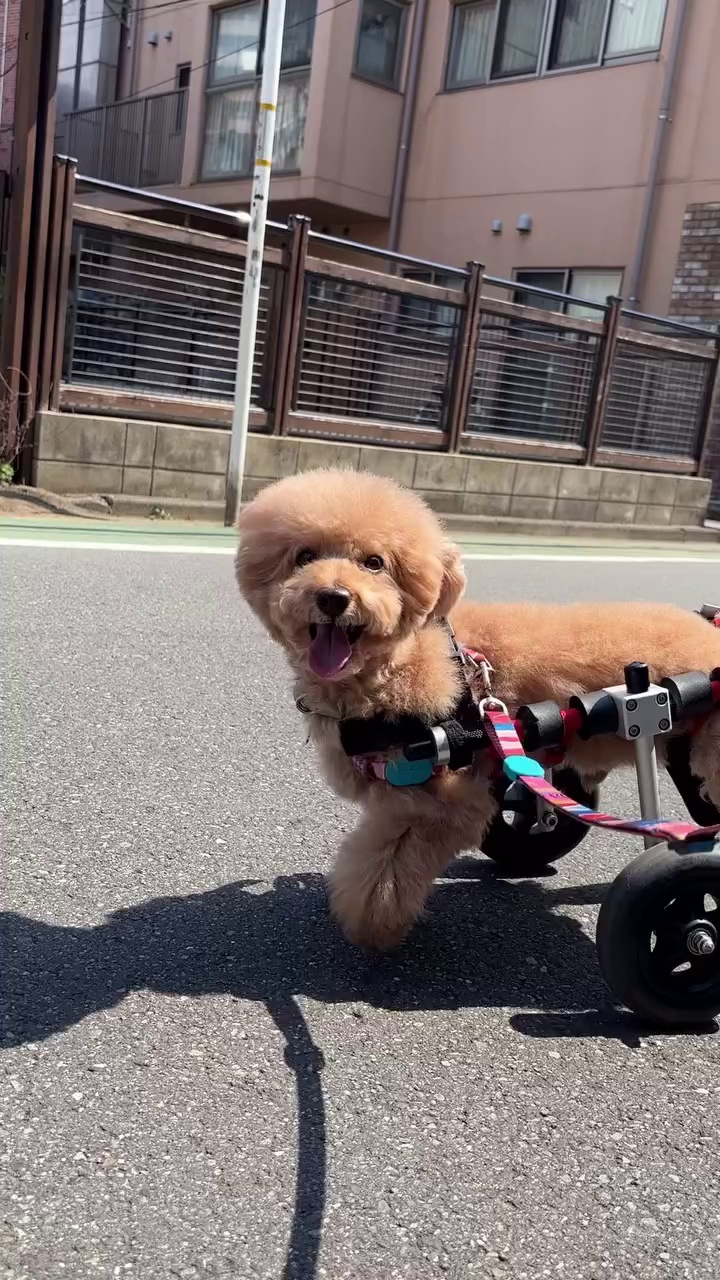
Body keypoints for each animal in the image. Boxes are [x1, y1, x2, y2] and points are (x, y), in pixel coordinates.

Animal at [236, 467, 720, 950]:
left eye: (374, 563)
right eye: (304, 556)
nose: (333, 597)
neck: (400, 665)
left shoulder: (441, 802)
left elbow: (382, 871)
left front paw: (371, 927)